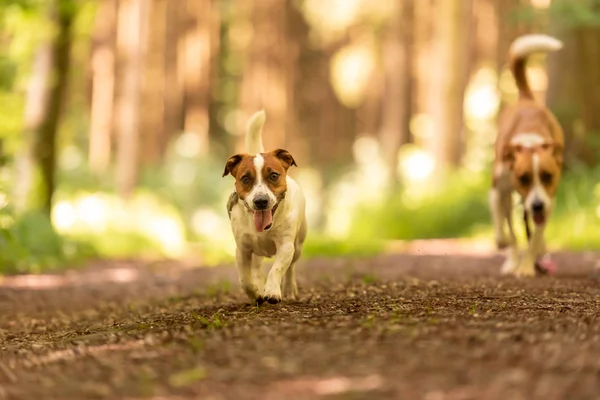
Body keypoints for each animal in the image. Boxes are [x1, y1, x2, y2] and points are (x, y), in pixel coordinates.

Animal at [221, 109, 308, 304]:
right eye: (245, 178)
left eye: (274, 175)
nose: (261, 201)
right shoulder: (243, 249)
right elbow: (245, 279)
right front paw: (256, 293)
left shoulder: (285, 246)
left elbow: (277, 269)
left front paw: (273, 291)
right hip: (256, 253)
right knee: (257, 269)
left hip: (298, 245)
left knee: (291, 267)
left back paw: (289, 289)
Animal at [490, 34, 564, 276]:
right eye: (523, 178)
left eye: (548, 176)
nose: (538, 205)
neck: (530, 144)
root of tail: (527, 99)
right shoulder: (497, 191)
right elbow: (505, 231)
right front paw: (505, 246)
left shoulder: (549, 198)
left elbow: (534, 238)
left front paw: (527, 267)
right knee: (511, 229)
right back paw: (511, 259)